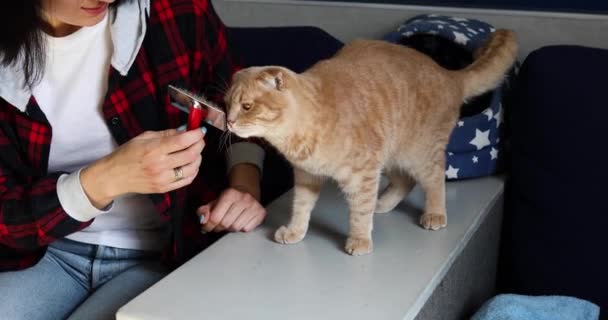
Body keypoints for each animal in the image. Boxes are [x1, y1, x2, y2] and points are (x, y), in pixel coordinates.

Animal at [223, 29, 516, 255]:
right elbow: (301, 207)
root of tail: (448, 74)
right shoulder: (307, 176)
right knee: (405, 181)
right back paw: (383, 204)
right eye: (226, 104)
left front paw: (360, 239)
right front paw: (296, 231)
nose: (228, 121)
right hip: (393, 157)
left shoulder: (363, 174)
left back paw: (434, 213)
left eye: (247, 106)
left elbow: (359, 212)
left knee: (434, 180)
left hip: (419, 154)